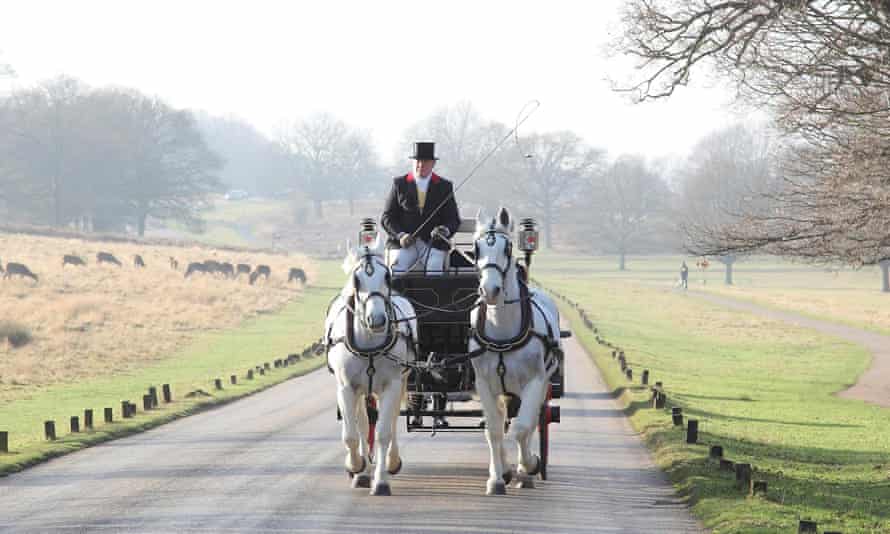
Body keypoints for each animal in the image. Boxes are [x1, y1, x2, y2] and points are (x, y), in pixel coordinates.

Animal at [322, 237, 416, 496]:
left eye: (387, 277)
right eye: (356, 280)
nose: (378, 320)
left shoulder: (392, 385)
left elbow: (383, 432)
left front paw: (381, 481)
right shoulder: (346, 387)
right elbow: (351, 435)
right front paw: (356, 466)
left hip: (400, 381)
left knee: (390, 421)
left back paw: (392, 462)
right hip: (362, 390)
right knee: (363, 424)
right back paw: (362, 471)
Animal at [468, 207, 560, 496]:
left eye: (507, 248)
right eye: (476, 248)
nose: (490, 290)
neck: (503, 330)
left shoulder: (535, 381)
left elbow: (522, 428)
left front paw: (528, 467)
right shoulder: (484, 383)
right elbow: (494, 431)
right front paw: (497, 478)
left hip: (540, 383)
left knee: (530, 422)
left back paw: (524, 468)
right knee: (502, 420)